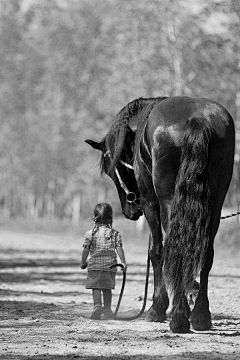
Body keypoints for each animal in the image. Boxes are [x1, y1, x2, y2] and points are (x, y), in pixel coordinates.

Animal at [86, 96, 234, 334]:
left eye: (110, 169)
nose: (130, 209)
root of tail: (197, 118)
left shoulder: (150, 202)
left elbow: (156, 251)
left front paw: (157, 308)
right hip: (215, 203)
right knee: (206, 253)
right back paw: (200, 316)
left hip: (167, 201)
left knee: (175, 247)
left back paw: (179, 317)